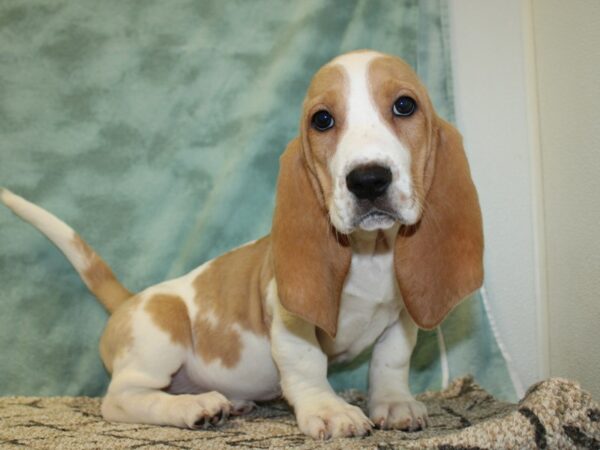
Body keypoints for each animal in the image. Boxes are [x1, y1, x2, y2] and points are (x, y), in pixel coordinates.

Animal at [1, 49, 482, 440]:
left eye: (405, 105)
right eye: (322, 119)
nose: (367, 180)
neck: (370, 252)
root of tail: (128, 301)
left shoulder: (402, 316)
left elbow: (390, 361)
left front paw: (394, 404)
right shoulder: (288, 317)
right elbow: (308, 364)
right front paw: (330, 410)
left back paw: (227, 401)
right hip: (160, 335)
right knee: (121, 398)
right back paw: (193, 406)